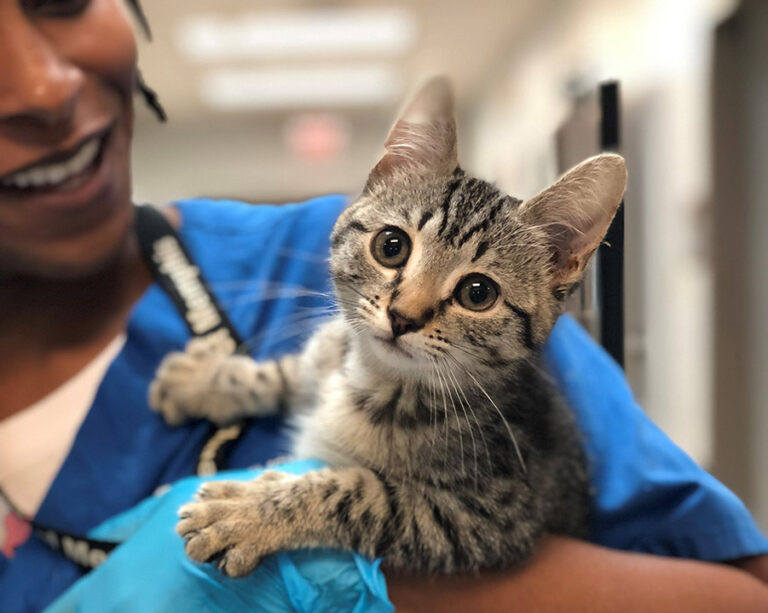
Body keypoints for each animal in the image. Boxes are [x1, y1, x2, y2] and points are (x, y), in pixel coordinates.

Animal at [148, 77, 624, 580]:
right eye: (391, 246)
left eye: (478, 293)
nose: (404, 316)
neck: (375, 377)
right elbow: (286, 370)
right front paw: (201, 381)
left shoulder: (490, 516)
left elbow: (359, 494)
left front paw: (251, 509)